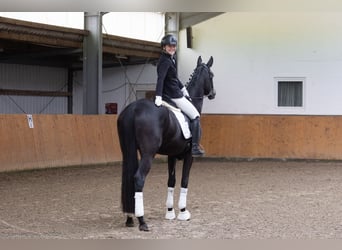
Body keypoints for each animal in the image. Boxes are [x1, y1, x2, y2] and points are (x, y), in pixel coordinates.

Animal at [116, 55, 215, 231]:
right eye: (212, 75)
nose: (213, 94)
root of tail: (133, 108)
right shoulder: (189, 156)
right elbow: (184, 181)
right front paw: (183, 212)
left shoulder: (171, 155)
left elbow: (171, 181)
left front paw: (170, 212)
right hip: (148, 154)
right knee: (138, 178)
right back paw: (142, 221)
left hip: (127, 151)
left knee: (128, 179)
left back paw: (129, 218)